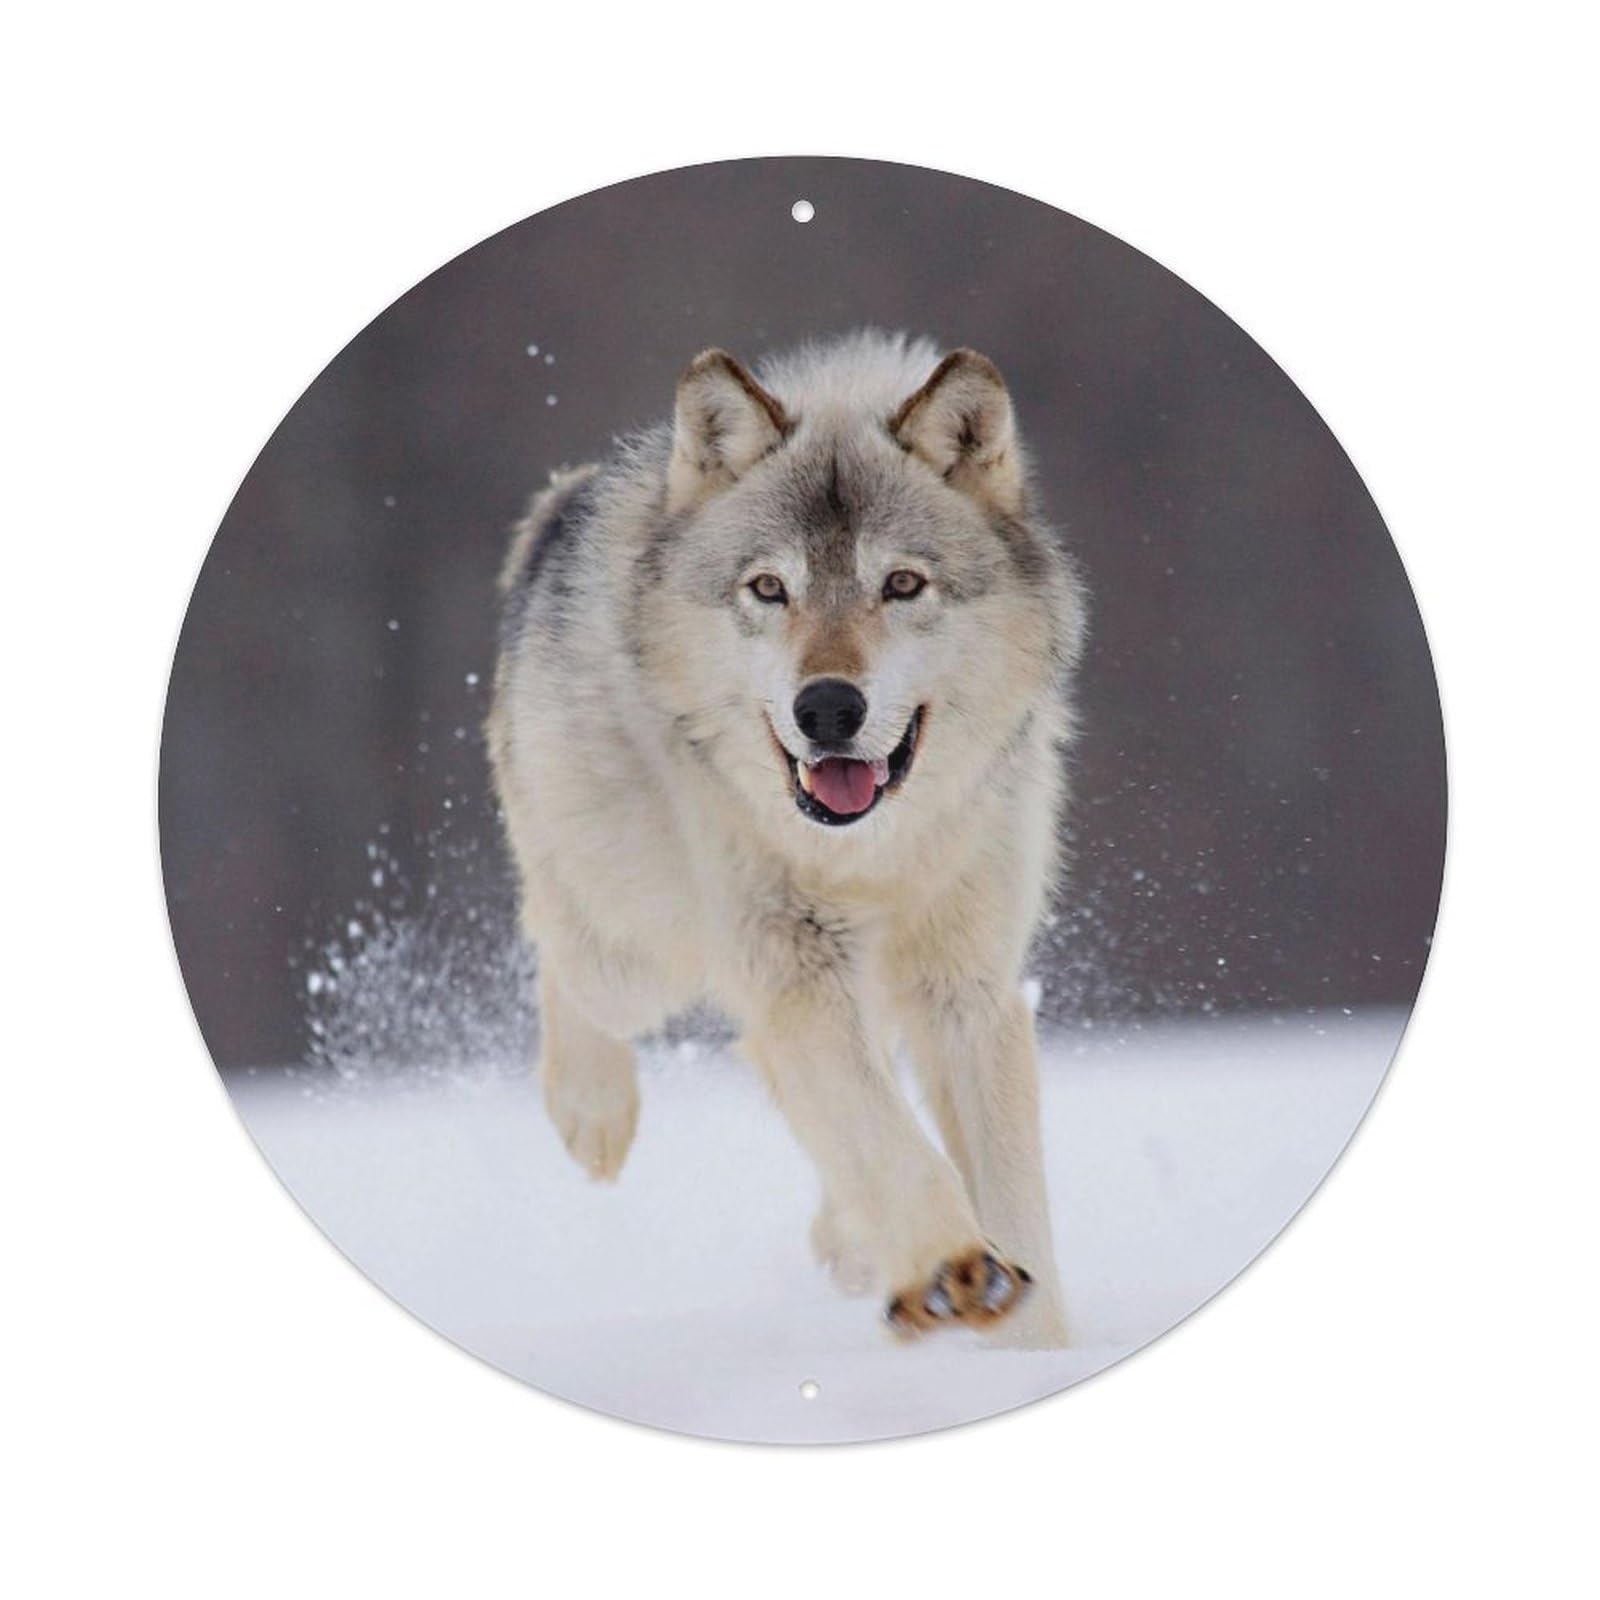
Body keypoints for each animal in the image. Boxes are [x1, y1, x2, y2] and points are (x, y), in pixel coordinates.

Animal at [487, 330, 1086, 1345]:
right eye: (769, 588)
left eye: (902, 584)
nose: (828, 708)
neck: (869, 854)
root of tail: (564, 505)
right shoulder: (794, 966)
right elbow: (891, 1142)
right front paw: (952, 1267)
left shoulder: (967, 990)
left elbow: (1009, 1198)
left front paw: (1030, 1342)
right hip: (638, 951)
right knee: (561, 953)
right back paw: (592, 1113)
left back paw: (851, 1245)